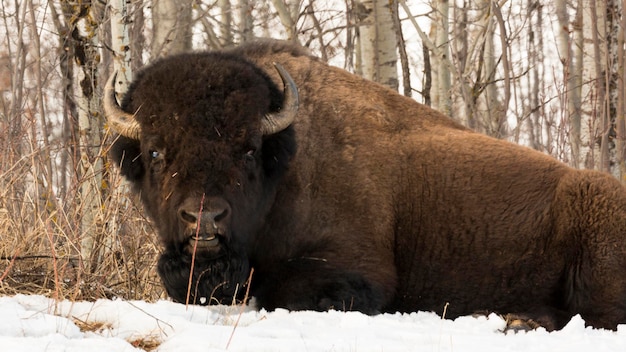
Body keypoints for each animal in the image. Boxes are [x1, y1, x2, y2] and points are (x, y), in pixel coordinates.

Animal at [106, 38, 624, 330]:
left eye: (248, 149)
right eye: (155, 152)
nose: (205, 217)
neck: (286, 162)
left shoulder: (355, 273)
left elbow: (284, 294)